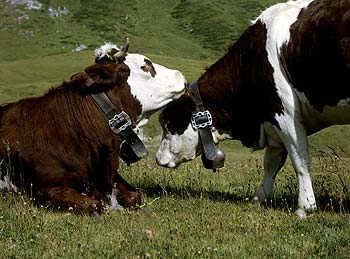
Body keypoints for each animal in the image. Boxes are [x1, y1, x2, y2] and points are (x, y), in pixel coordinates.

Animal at [156, 0, 350, 219]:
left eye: (170, 124)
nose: (158, 158)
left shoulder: (284, 113)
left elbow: (300, 159)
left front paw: (305, 206)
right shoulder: (272, 121)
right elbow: (272, 162)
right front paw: (260, 198)